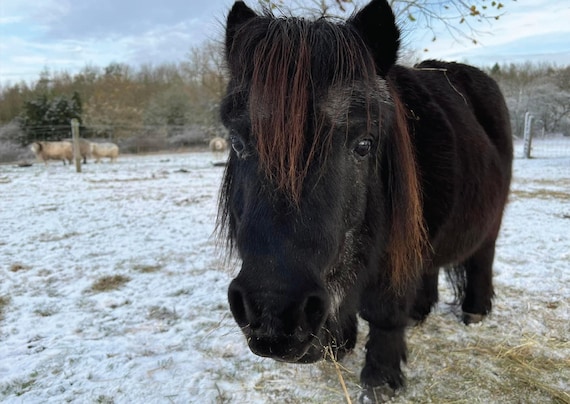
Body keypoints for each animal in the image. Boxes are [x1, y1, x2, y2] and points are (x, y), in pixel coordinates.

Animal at [216, 0, 510, 398]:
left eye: (364, 144)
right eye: (237, 142)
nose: (274, 312)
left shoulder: (392, 262)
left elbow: (384, 314)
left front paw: (380, 379)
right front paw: (338, 346)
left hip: (488, 226)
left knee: (482, 259)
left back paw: (474, 311)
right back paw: (419, 312)